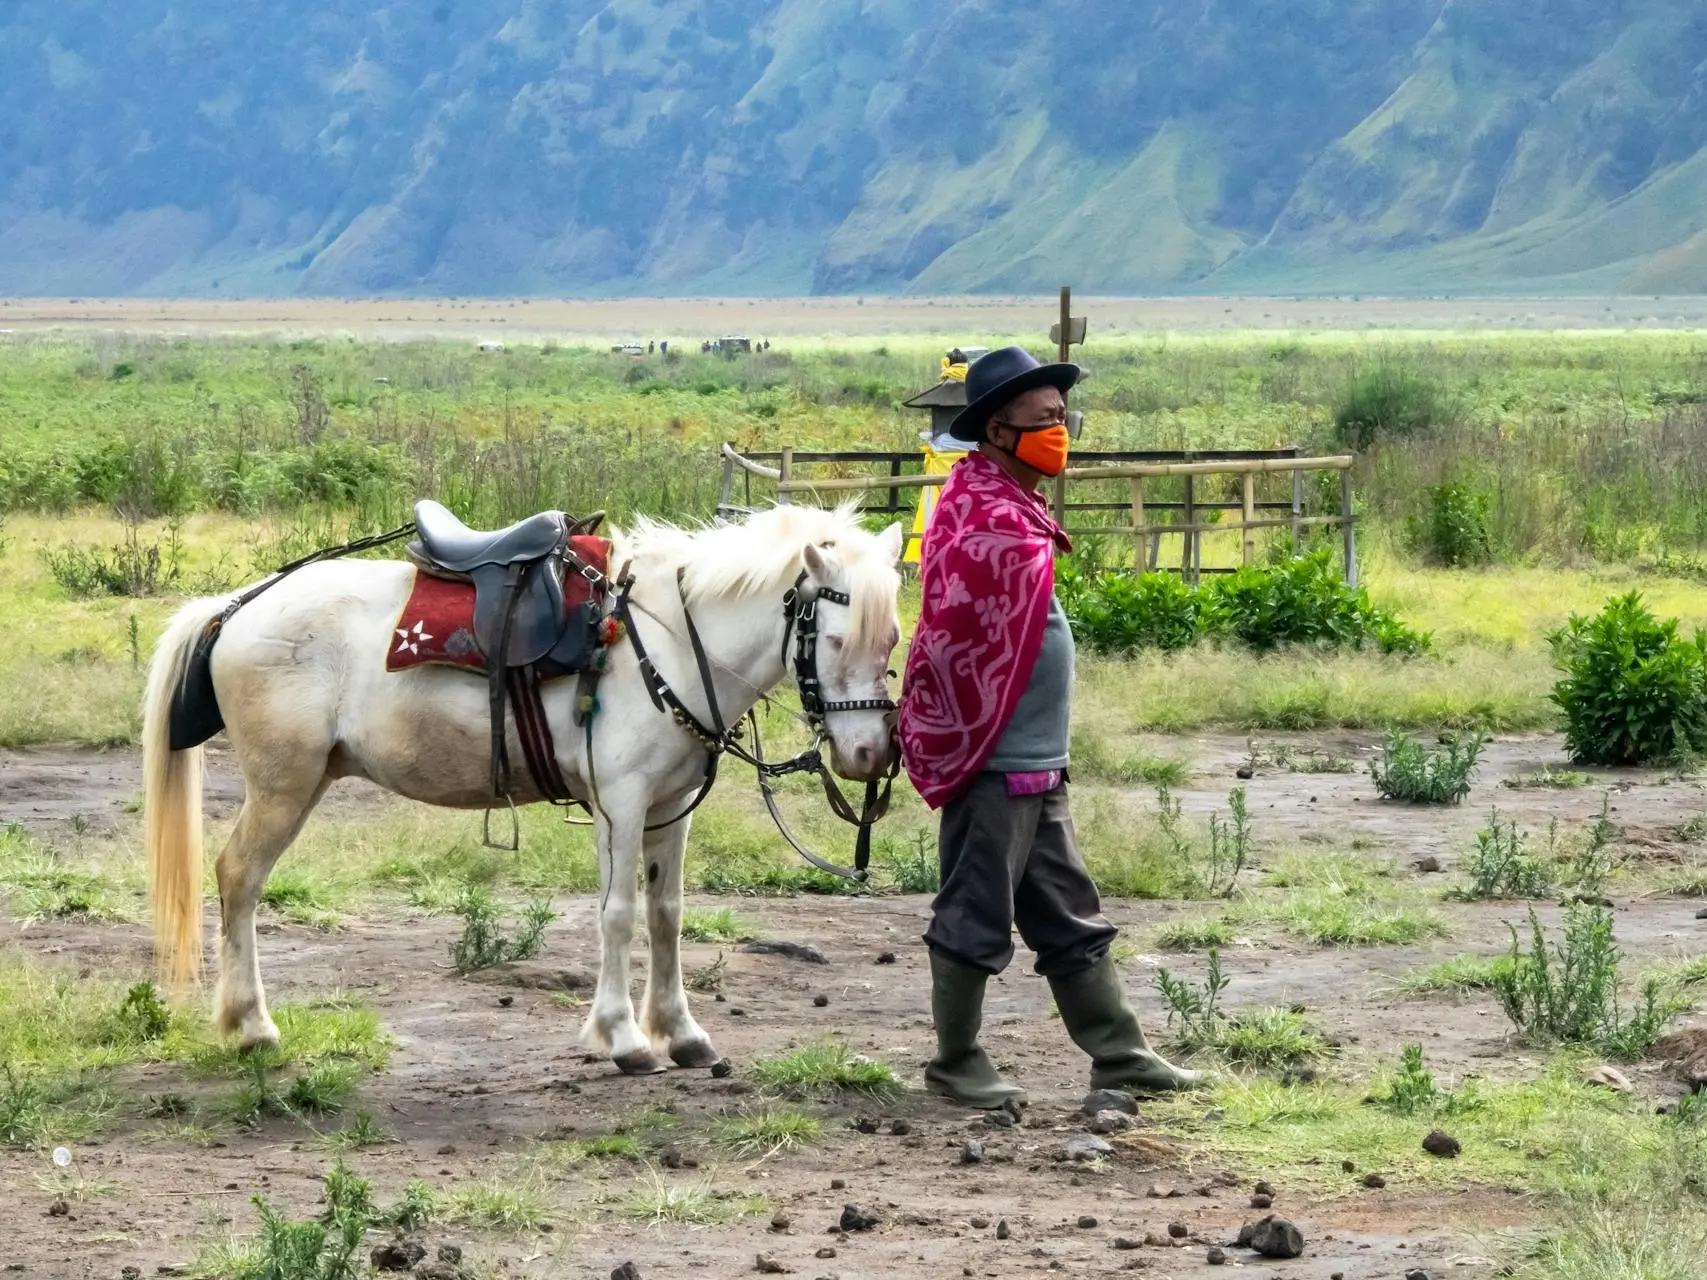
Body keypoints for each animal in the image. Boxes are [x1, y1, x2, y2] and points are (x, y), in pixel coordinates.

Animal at [143, 505, 908, 1078]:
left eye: (893, 637)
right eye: (833, 640)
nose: (870, 755)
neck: (662, 644)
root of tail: (236, 607)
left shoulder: (668, 810)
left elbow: (666, 914)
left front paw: (681, 1032)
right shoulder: (621, 804)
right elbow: (618, 915)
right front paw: (623, 1038)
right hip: (282, 786)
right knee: (238, 878)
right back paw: (252, 1026)